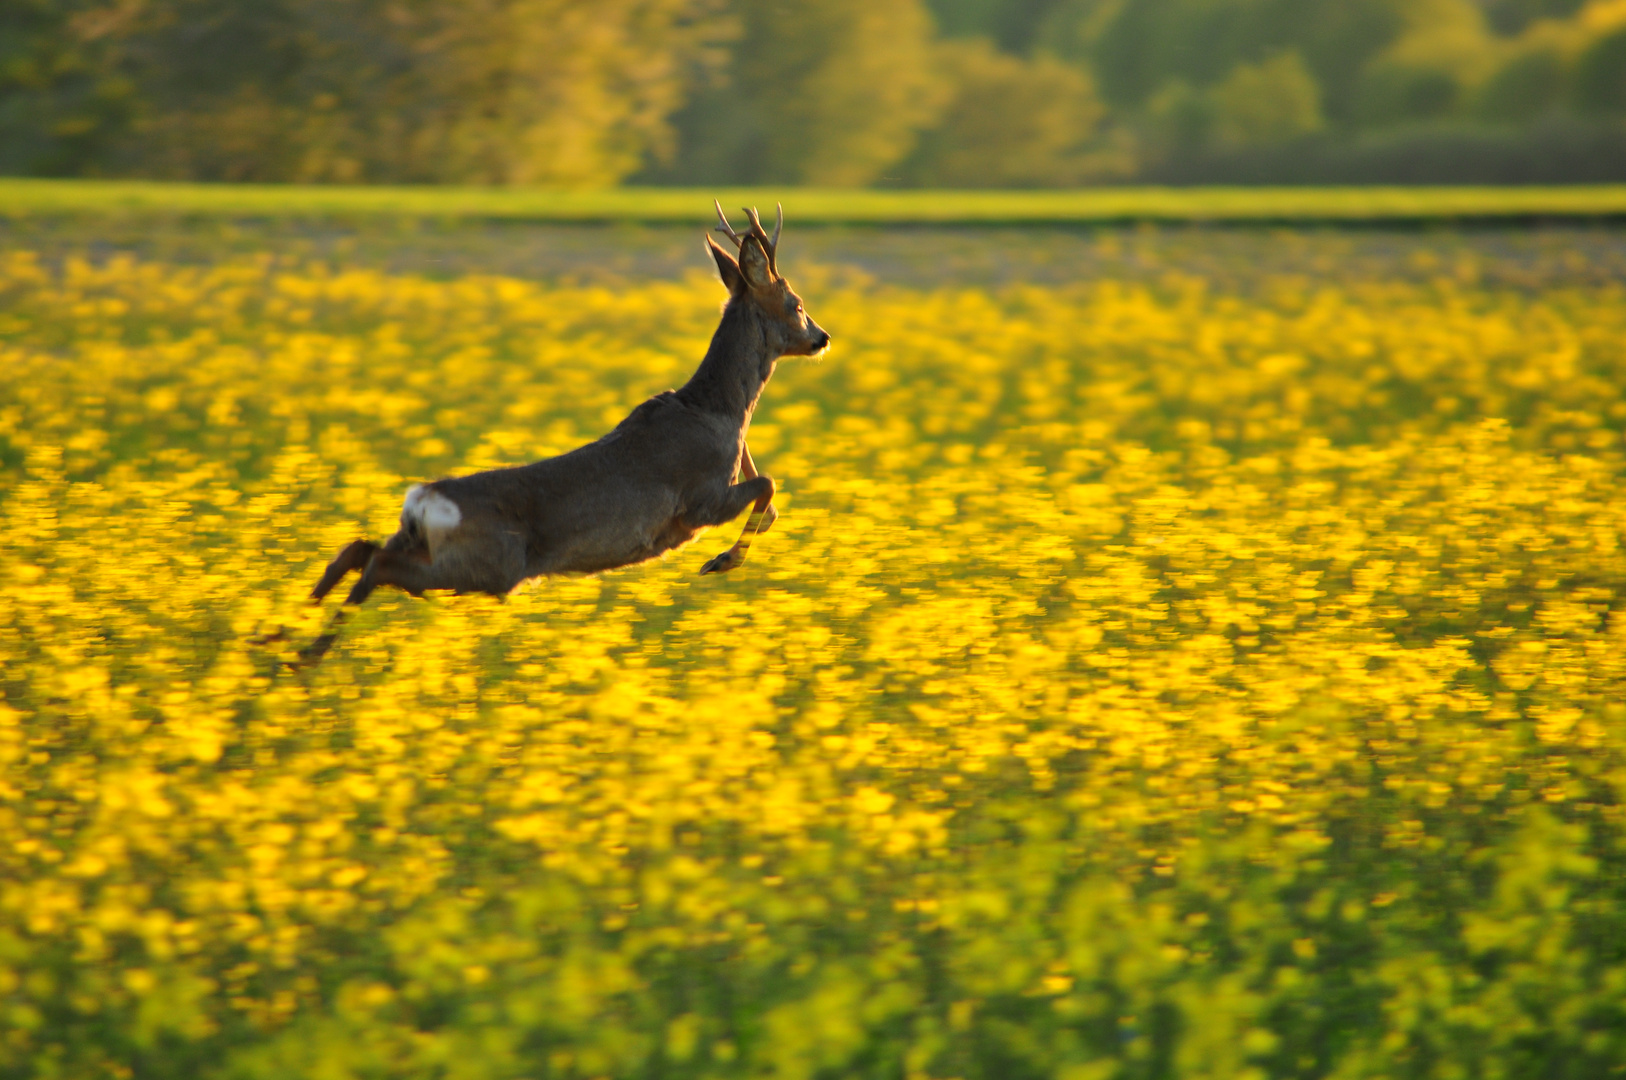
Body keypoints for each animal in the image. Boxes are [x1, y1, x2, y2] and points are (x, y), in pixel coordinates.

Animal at [312, 202, 832, 608]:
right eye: (797, 303)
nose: (822, 337)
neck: (718, 411)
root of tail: (419, 502)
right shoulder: (698, 500)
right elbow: (768, 485)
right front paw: (720, 561)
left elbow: (770, 501)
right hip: (487, 562)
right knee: (375, 565)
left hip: (434, 548)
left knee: (359, 550)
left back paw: (299, 627)